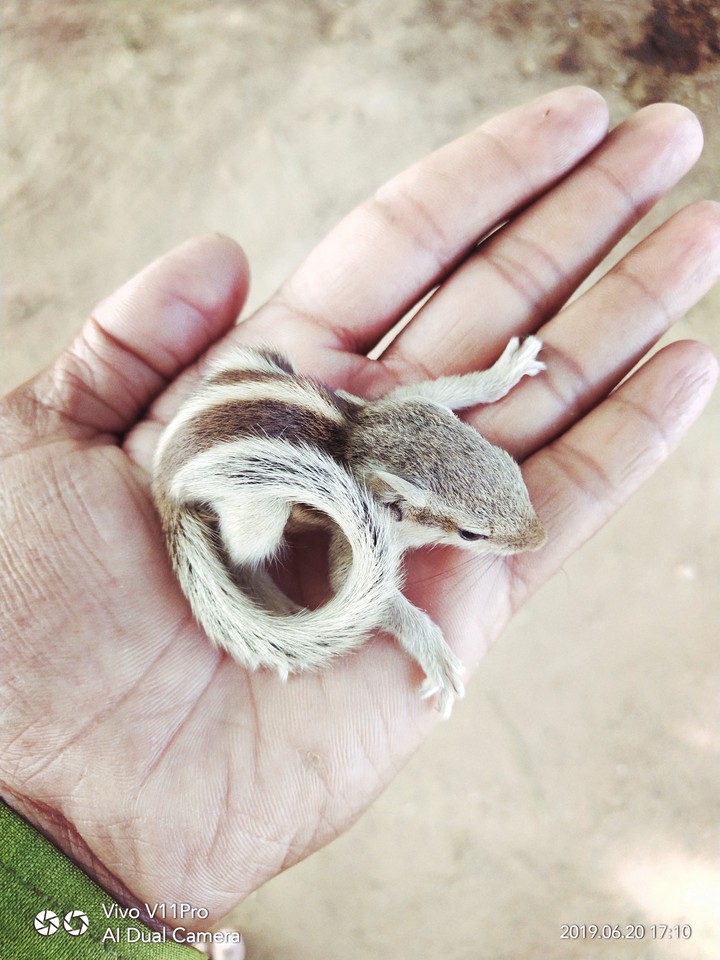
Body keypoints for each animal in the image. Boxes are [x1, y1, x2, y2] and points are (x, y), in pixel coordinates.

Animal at [152, 335, 547, 716]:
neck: (363, 437)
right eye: (471, 534)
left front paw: (506, 370)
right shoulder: (351, 536)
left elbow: (442, 389)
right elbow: (349, 578)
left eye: (508, 465)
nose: (540, 539)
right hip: (260, 510)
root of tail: (163, 482)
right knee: (242, 561)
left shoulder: (400, 402)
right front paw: (437, 658)